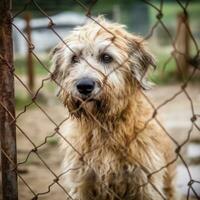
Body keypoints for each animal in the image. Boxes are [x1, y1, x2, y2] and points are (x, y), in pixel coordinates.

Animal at [50, 17, 177, 200]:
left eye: (106, 57)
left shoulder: (146, 183)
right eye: (74, 58)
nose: (84, 86)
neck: (104, 125)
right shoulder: (82, 183)